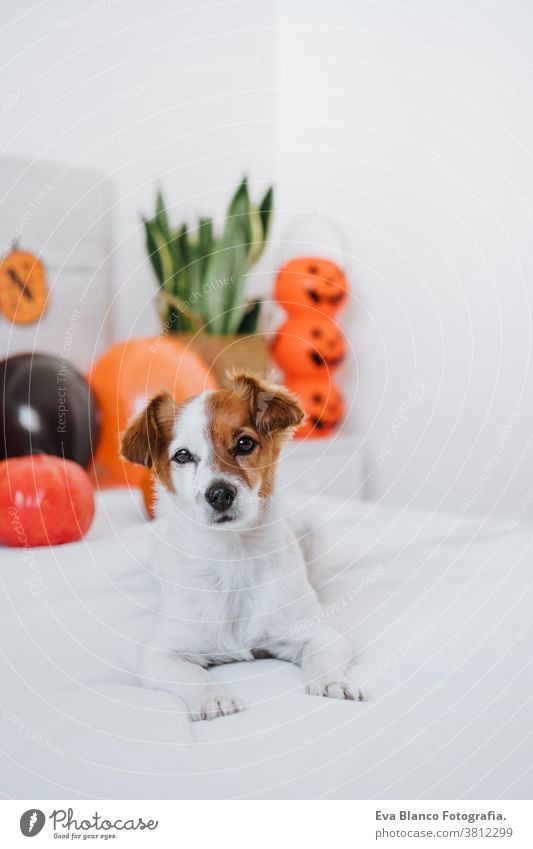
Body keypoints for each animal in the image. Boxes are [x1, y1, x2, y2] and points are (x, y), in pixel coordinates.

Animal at [120, 372, 362, 724]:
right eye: (182, 455)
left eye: (245, 443)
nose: (219, 494)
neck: (233, 557)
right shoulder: (158, 654)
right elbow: (192, 674)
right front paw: (214, 698)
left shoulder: (319, 634)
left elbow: (323, 657)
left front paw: (333, 682)